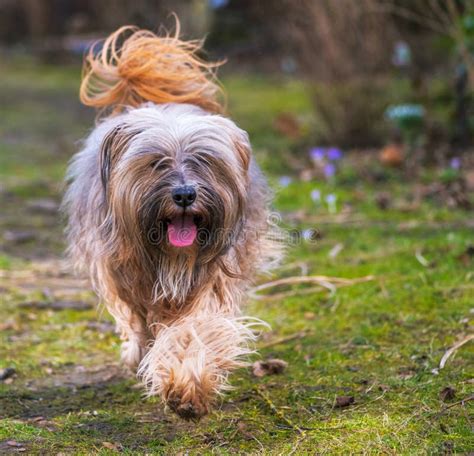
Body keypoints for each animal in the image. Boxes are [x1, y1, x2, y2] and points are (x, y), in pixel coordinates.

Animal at [61, 23, 280, 418]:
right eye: (156, 163)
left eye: (203, 161)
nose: (184, 195)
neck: (170, 255)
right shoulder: (124, 274)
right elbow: (140, 320)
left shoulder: (211, 281)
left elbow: (194, 329)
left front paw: (187, 385)